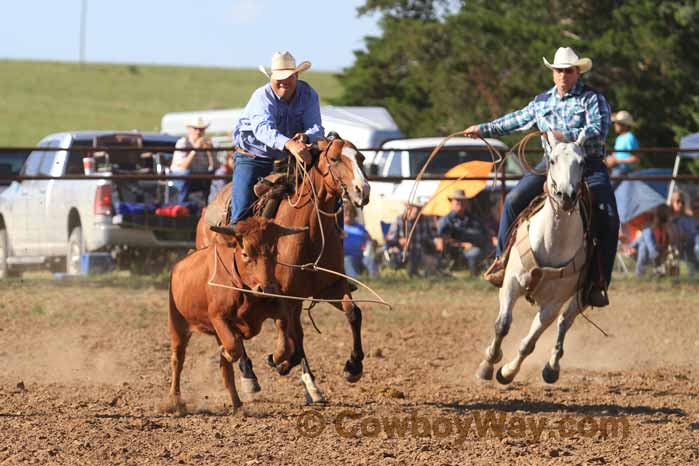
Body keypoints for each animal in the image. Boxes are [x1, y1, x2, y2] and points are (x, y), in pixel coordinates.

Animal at [167, 217, 306, 414]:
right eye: (246, 253)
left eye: (275, 253)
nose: (267, 288)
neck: (246, 292)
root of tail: (179, 264)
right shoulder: (218, 318)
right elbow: (233, 347)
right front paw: (225, 352)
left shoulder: (277, 308)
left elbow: (283, 336)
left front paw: (275, 356)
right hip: (177, 325)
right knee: (177, 361)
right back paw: (175, 400)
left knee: (226, 371)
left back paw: (237, 403)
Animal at [197, 136, 372, 404]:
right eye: (334, 159)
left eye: (361, 158)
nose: (363, 190)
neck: (309, 234)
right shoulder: (286, 297)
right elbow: (293, 338)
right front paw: (280, 360)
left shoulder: (331, 288)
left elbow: (353, 313)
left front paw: (353, 367)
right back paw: (250, 375)